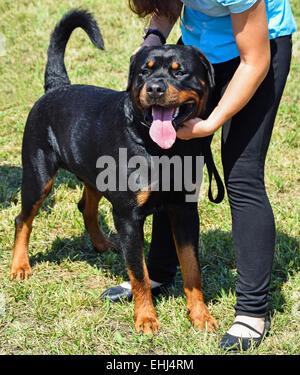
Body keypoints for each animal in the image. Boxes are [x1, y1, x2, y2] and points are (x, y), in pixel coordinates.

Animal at [9, 9, 223, 334]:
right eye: (144, 72)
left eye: (179, 72)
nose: (155, 88)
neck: (161, 149)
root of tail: (57, 86)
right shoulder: (129, 217)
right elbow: (140, 274)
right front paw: (146, 319)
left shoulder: (185, 211)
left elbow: (191, 268)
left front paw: (200, 315)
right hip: (38, 176)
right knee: (23, 218)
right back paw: (19, 266)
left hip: (94, 174)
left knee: (85, 206)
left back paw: (101, 243)